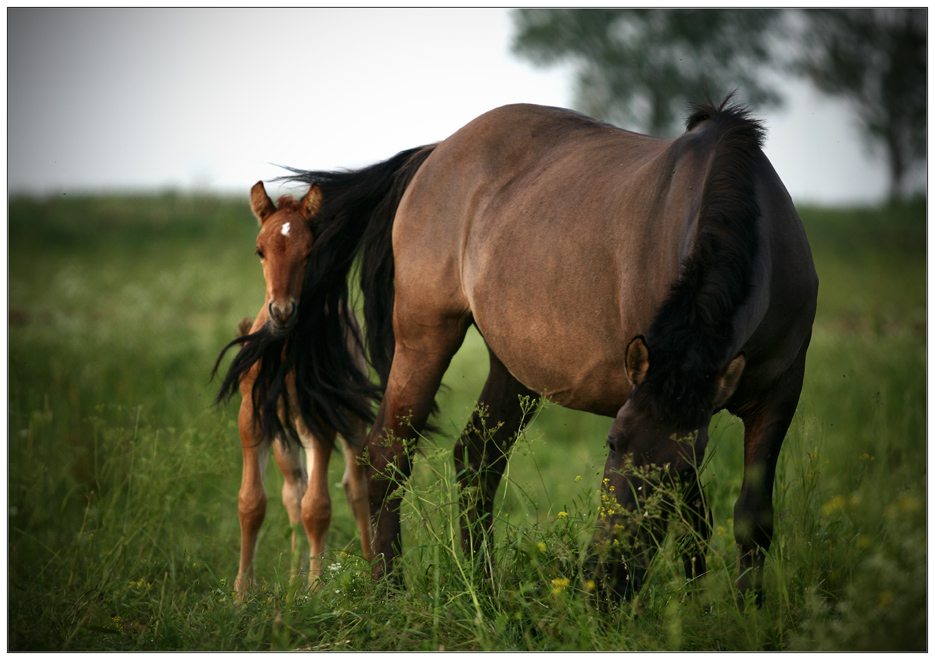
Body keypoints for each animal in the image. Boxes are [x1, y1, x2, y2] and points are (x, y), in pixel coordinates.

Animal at [216, 183, 376, 596]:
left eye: (309, 252)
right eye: (260, 250)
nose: (283, 311)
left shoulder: (319, 420)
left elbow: (317, 508)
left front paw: (317, 592)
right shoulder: (253, 419)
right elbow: (252, 503)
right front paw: (241, 594)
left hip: (349, 421)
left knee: (356, 487)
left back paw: (371, 571)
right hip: (285, 437)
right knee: (293, 492)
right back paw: (292, 582)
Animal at [236, 96, 820, 604]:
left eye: (675, 465)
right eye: (612, 443)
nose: (602, 587)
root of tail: (437, 152)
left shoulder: (776, 397)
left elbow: (747, 518)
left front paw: (741, 613)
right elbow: (696, 523)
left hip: (513, 368)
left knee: (476, 460)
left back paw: (485, 588)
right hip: (426, 336)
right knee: (385, 456)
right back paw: (390, 591)